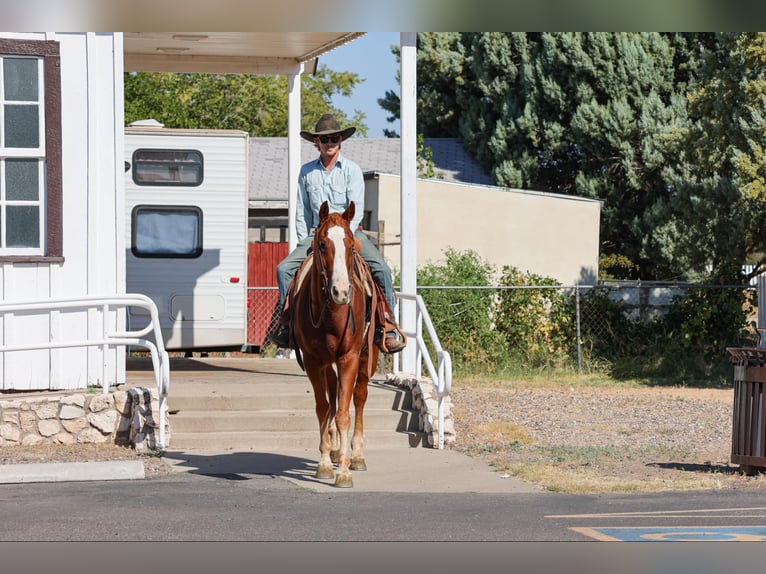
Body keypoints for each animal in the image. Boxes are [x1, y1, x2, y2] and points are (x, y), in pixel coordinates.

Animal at [290, 200, 379, 488]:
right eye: (322, 244)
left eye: (350, 245)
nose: (341, 292)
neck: (332, 314)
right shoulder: (313, 360)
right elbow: (324, 408)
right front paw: (326, 464)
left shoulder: (349, 357)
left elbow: (343, 412)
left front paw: (344, 472)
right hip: (328, 365)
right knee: (332, 396)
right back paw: (337, 450)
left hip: (367, 356)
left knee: (359, 399)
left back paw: (356, 455)